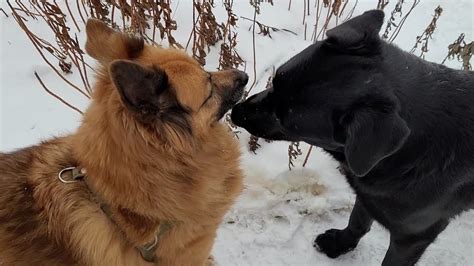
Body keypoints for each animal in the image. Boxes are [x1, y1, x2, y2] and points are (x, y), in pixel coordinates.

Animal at [231, 9, 474, 264]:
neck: (408, 153)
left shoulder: (412, 237)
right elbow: (357, 221)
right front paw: (341, 243)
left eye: (284, 119)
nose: (236, 112)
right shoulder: (367, 195)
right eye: (276, 79)